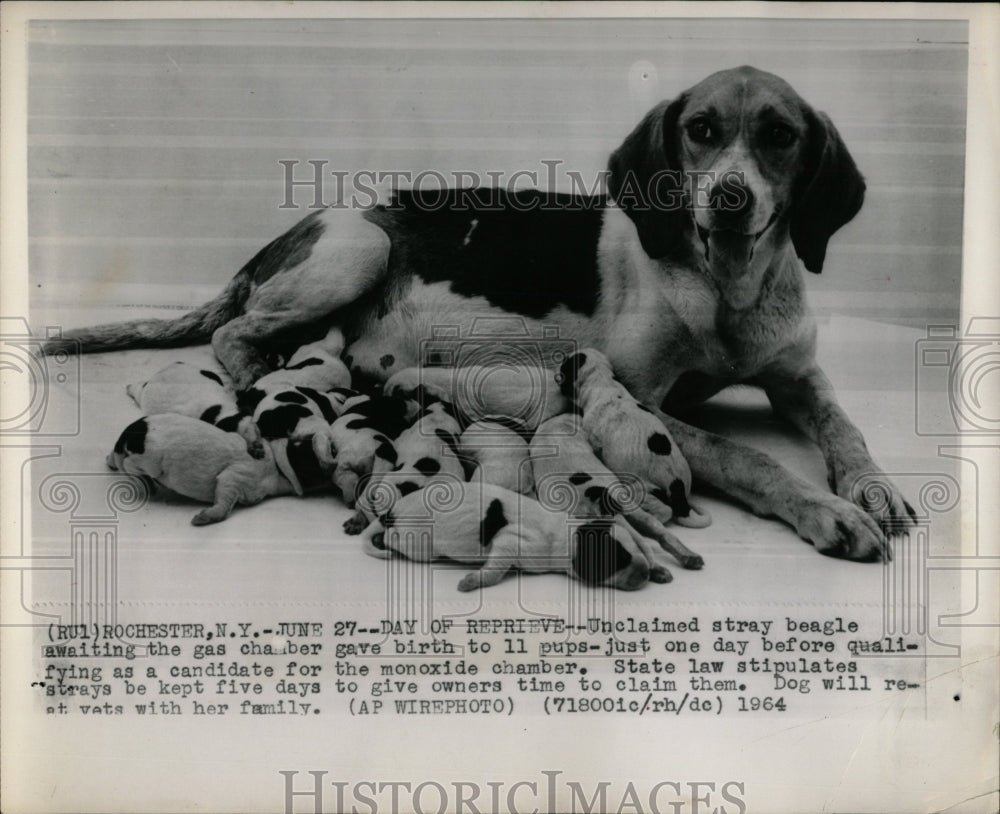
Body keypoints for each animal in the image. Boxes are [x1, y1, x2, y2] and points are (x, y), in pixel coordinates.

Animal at [107, 418, 330, 524]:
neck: (276, 464)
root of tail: (130, 433)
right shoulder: (233, 477)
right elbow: (223, 505)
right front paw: (205, 517)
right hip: (151, 461)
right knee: (129, 465)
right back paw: (145, 483)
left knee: (118, 459)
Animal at [364, 484, 652, 592]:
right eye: (617, 558)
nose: (647, 573)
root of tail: (392, 512)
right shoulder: (511, 540)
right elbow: (495, 568)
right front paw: (470, 581)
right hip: (416, 542)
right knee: (390, 538)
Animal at [556, 350, 712, 528]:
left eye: (564, 367)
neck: (604, 382)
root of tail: (678, 491)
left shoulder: (594, 438)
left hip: (641, 488)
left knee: (665, 511)